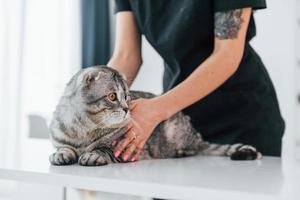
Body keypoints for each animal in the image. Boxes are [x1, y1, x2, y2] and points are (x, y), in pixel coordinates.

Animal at [48, 65, 260, 166]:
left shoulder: (123, 148)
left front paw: (93, 155)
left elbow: (104, 149)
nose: (126, 109)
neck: (84, 131)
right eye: (112, 96)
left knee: (194, 148)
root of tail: (196, 136)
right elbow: (64, 148)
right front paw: (61, 154)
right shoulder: (62, 138)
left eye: (127, 97)